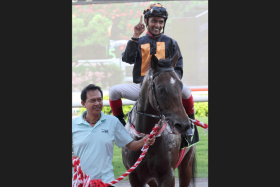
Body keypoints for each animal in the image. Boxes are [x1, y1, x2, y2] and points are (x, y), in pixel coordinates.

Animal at [121, 51, 196, 187]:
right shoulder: (134, 177)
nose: (184, 125)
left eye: (180, 86)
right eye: (161, 88)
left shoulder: (167, 175)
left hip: (186, 164)